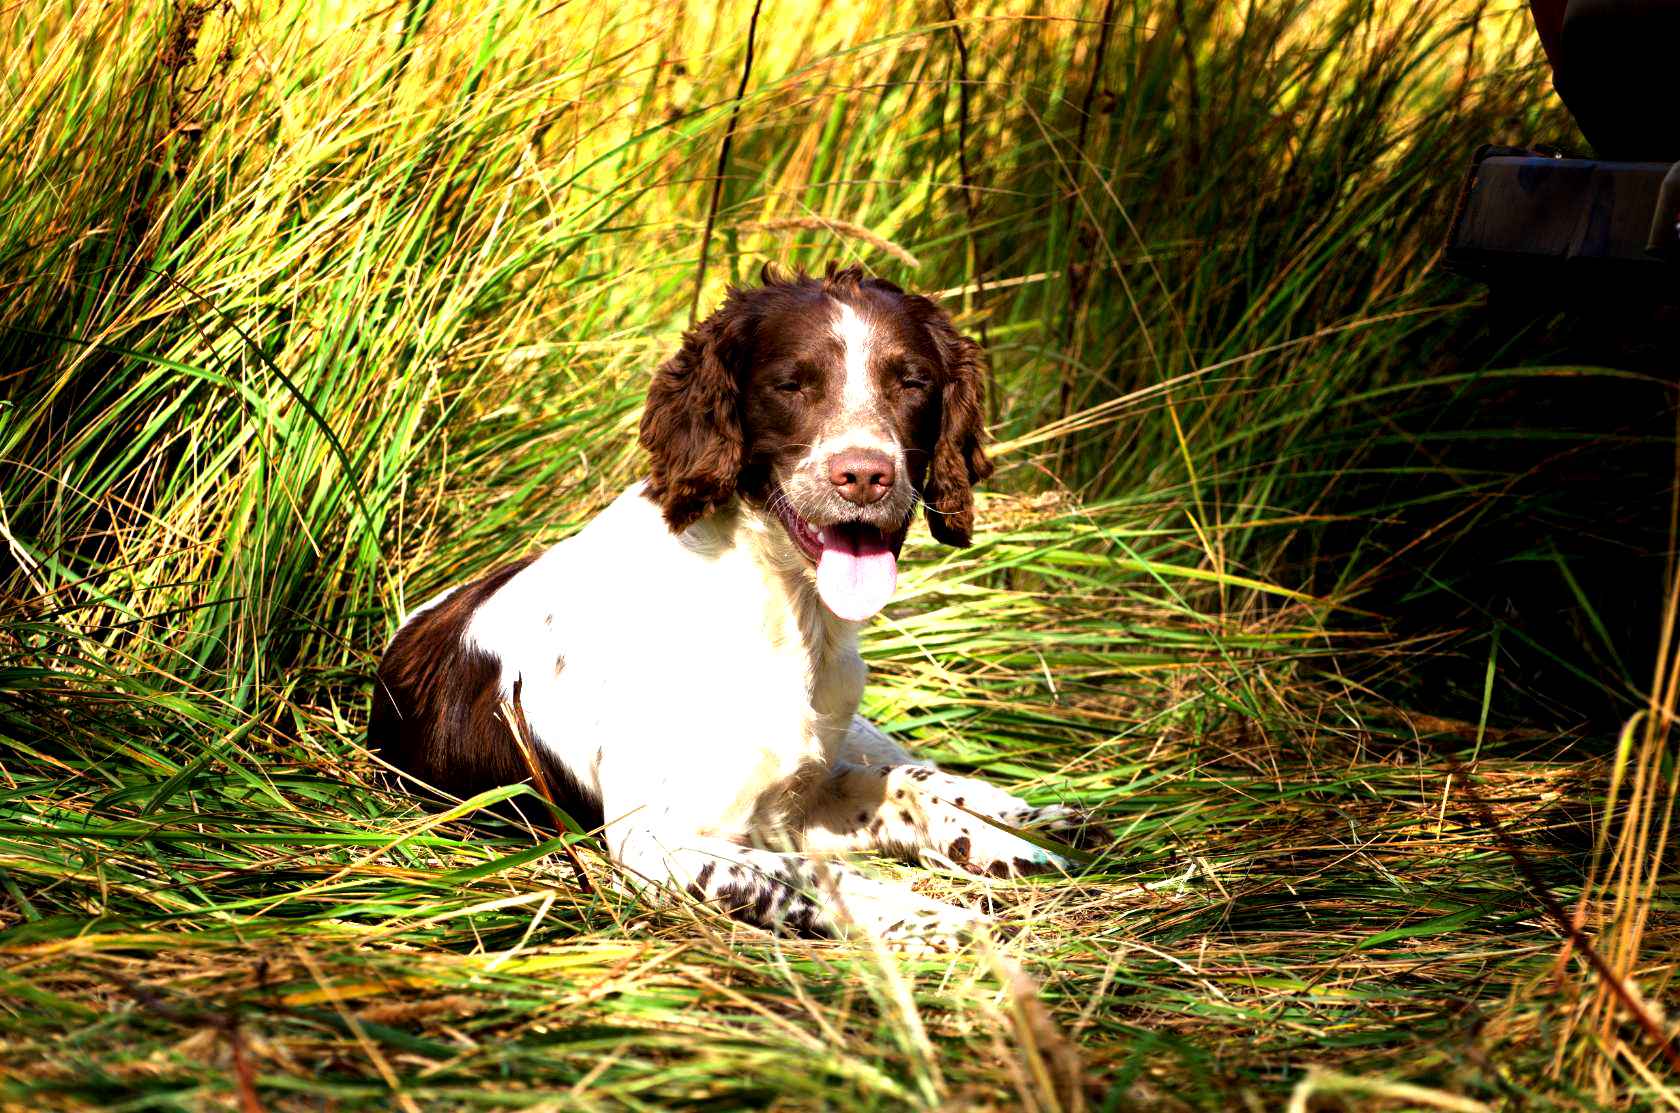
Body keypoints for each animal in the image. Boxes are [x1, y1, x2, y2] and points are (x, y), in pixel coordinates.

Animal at [371, 265, 1088, 948]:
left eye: (913, 382)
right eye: (791, 384)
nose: (864, 476)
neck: (780, 611)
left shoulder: (796, 798)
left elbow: (902, 788)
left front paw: (998, 848)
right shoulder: (656, 844)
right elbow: (819, 871)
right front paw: (942, 923)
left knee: (918, 766)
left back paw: (1035, 822)